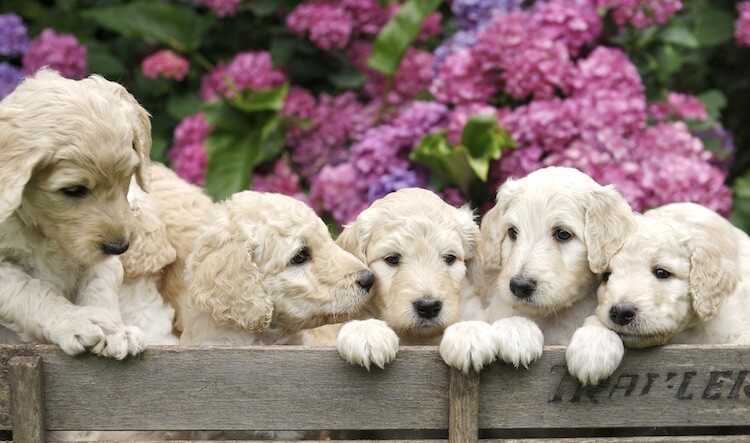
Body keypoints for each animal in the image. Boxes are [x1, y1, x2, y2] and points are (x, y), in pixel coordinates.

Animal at [0, 70, 153, 360]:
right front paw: (76, 321)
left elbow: (99, 286)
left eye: (127, 177)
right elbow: (30, 288)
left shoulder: (100, 258)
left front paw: (114, 330)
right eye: (73, 190)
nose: (119, 247)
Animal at [334, 187, 482, 372]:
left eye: (450, 258)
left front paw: (468, 333)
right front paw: (366, 331)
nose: (428, 307)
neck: (417, 339)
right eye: (392, 258)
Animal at [444, 168, 636, 372]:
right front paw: (517, 330)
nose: (519, 286)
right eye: (512, 232)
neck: (552, 317)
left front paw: (594, 346)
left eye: (563, 234)